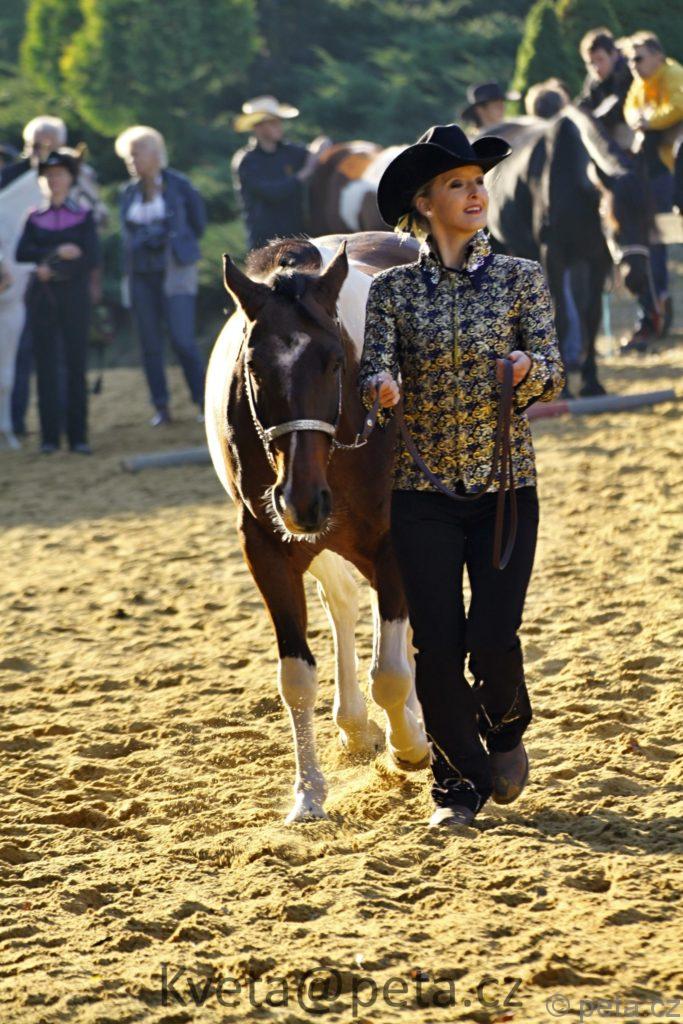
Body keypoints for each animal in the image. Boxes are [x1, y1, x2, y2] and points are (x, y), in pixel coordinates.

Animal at [204, 231, 431, 823]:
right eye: (254, 367)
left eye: (332, 363)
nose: (301, 500)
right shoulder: (268, 551)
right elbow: (297, 679)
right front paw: (308, 794)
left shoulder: (392, 544)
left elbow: (391, 672)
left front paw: (410, 747)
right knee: (346, 604)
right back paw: (353, 725)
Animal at [483, 106, 655, 396]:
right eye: (614, 223)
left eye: (648, 219)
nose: (636, 278)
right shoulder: (553, 255)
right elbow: (560, 315)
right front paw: (562, 389)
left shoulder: (597, 258)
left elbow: (591, 316)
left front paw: (591, 381)